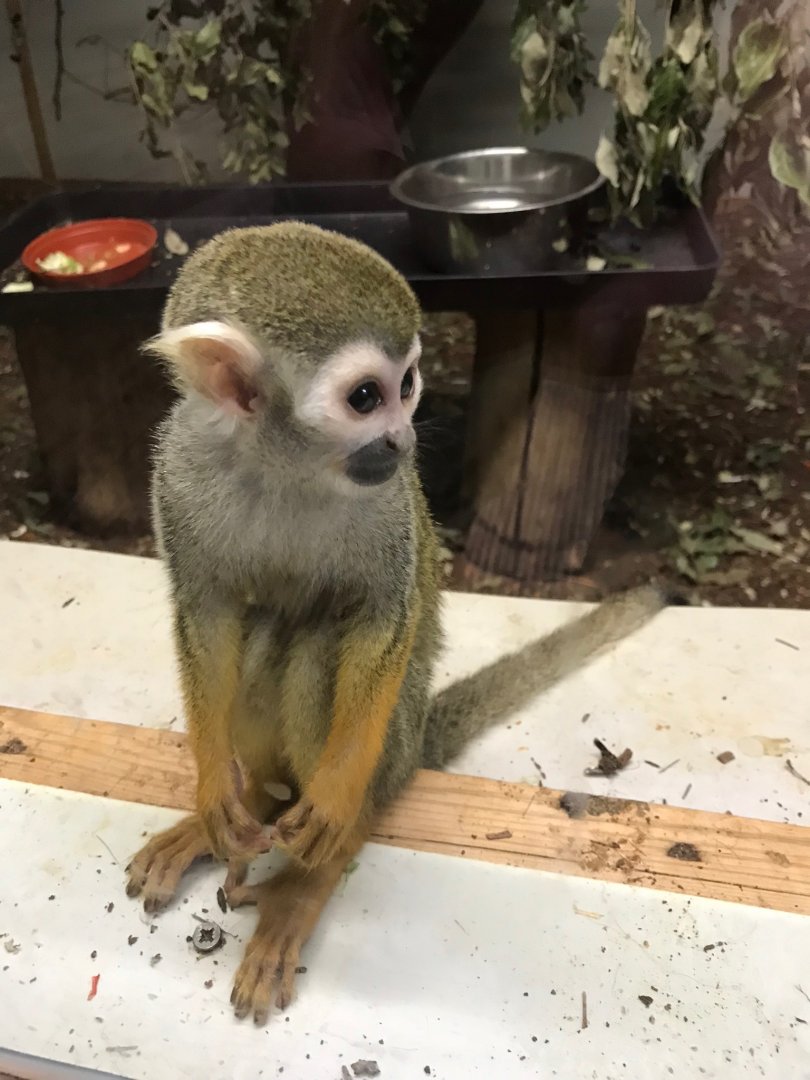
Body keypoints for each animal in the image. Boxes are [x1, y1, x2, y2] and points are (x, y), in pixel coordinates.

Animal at [124, 221, 666, 1025]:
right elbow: (208, 615)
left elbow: (383, 614)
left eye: (406, 386)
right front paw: (214, 788)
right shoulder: (180, 473)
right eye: (365, 397)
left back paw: (313, 866)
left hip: (394, 739)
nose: (403, 440)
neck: (284, 467)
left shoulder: (384, 505)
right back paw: (253, 801)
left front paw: (333, 808)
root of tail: (416, 745)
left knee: (316, 647)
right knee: (265, 631)